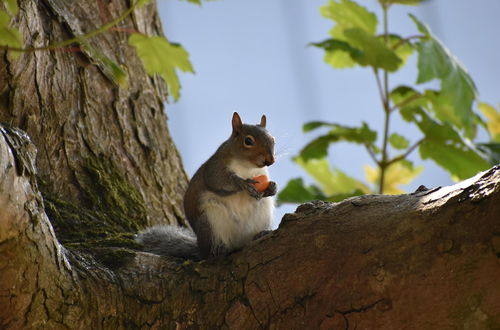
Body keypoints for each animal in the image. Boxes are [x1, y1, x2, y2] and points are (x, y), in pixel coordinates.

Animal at [136, 112, 278, 260]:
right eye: (248, 141)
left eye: (273, 139)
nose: (271, 160)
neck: (248, 167)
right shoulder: (215, 167)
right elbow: (219, 181)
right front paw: (243, 184)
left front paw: (272, 187)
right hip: (210, 223)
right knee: (211, 250)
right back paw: (219, 250)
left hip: (263, 213)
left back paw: (260, 234)